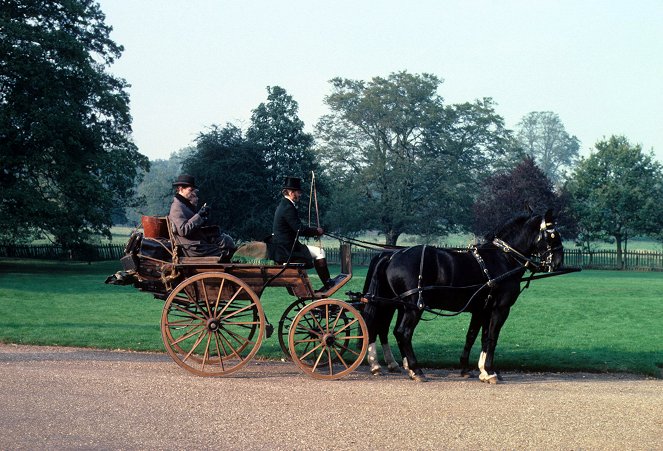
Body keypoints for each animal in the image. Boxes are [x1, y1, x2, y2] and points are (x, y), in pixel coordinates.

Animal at [364, 210, 564, 384]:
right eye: (553, 235)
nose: (558, 261)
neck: (503, 258)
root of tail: (392, 256)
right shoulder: (500, 309)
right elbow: (492, 338)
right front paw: (490, 371)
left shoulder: (482, 310)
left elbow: (476, 336)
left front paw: (478, 370)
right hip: (412, 307)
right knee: (401, 332)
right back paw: (415, 369)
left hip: (398, 305)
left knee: (385, 329)